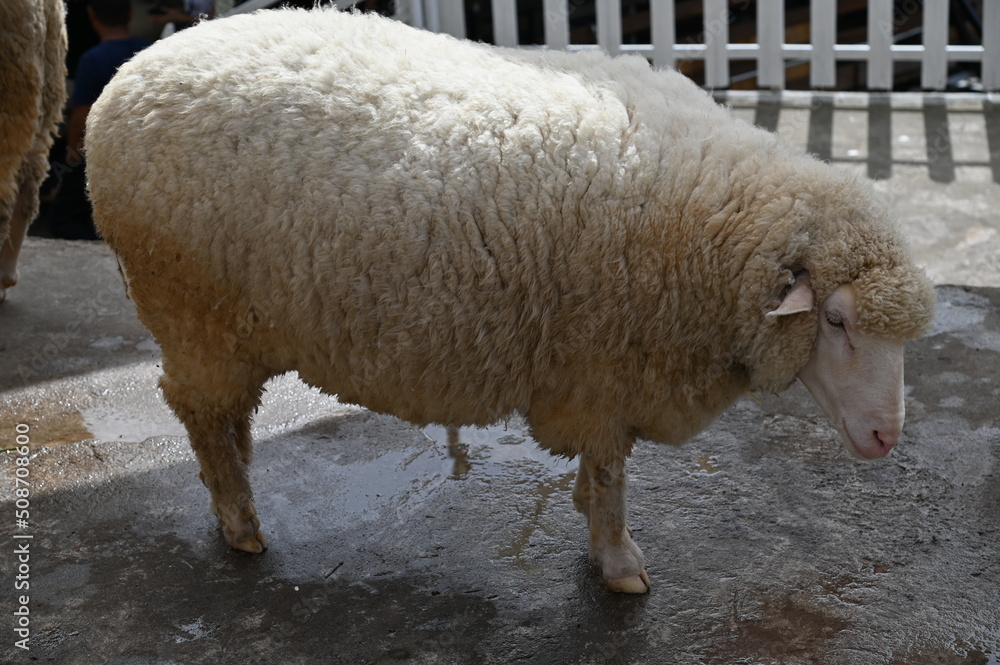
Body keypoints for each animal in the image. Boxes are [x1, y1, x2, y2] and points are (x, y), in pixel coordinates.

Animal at [85, 8, 936, 594]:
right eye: (836, 320)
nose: (887, 439)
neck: (719, 216)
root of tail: (135, 71)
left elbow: (601, 474)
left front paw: (595, 530)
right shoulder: (604, 370)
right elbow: (611, 477)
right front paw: (618, 561)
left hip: (228, 325)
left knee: (222, 414)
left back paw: (236, 475)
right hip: (191, 311)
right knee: (196, 411)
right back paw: (238, 520)